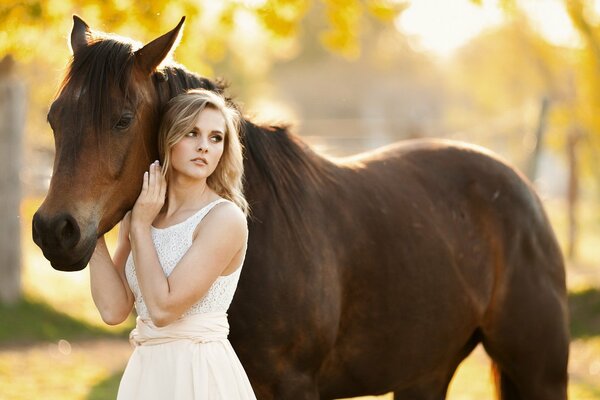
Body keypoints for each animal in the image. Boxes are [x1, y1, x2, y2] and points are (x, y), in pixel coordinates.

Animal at [31, 16, 568, 400]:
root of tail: (523, 190)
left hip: (539, 372)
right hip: (425, 374)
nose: (55, 230)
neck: (264, 231)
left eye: (123, 119)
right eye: (55, 117)